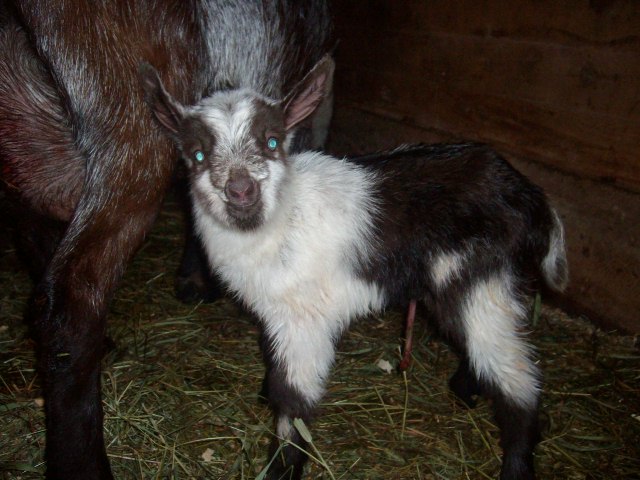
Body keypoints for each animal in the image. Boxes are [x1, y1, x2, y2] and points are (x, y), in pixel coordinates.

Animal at [142, 57, 568, 480]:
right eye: (197, 155)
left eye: (273, 141)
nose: (241, 191)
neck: (280, 221)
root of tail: (528, 195)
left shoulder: (303, 321)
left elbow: (293, 401)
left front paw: (281, 467)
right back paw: (465, 390)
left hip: (478, 276)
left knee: (516, 378)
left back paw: (514, 462)